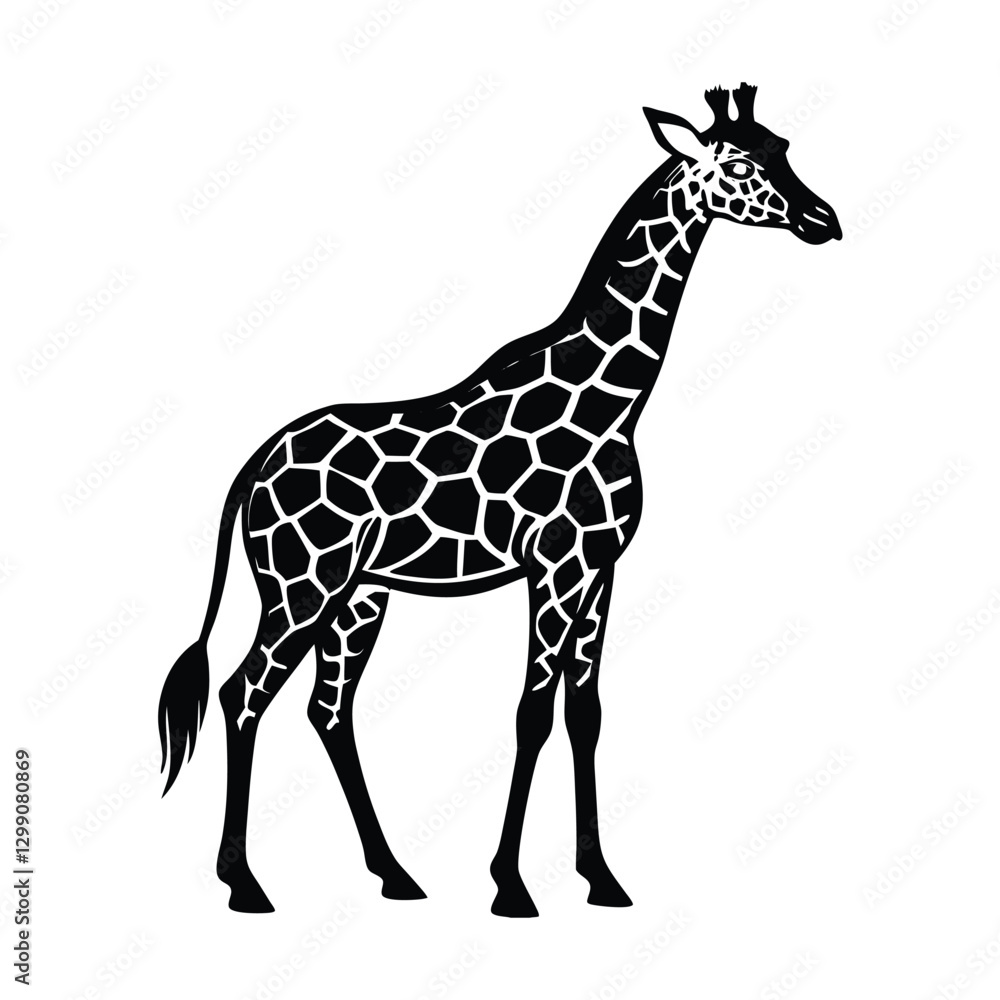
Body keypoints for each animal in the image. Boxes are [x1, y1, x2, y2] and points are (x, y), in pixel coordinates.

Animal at [158, 84, 841, 918]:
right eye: (740, 163)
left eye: (784, 147)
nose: (824, 220)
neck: (613, 402)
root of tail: (251, 470)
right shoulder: (554, 567)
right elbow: (531, 713)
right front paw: (511, 885)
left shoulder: (601, 570)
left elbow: (585, 713)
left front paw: (601, 878)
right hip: (302, 586)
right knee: (243, 693)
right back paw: (245, 883)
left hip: (359, 595)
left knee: (329, 709)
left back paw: (394, 874)